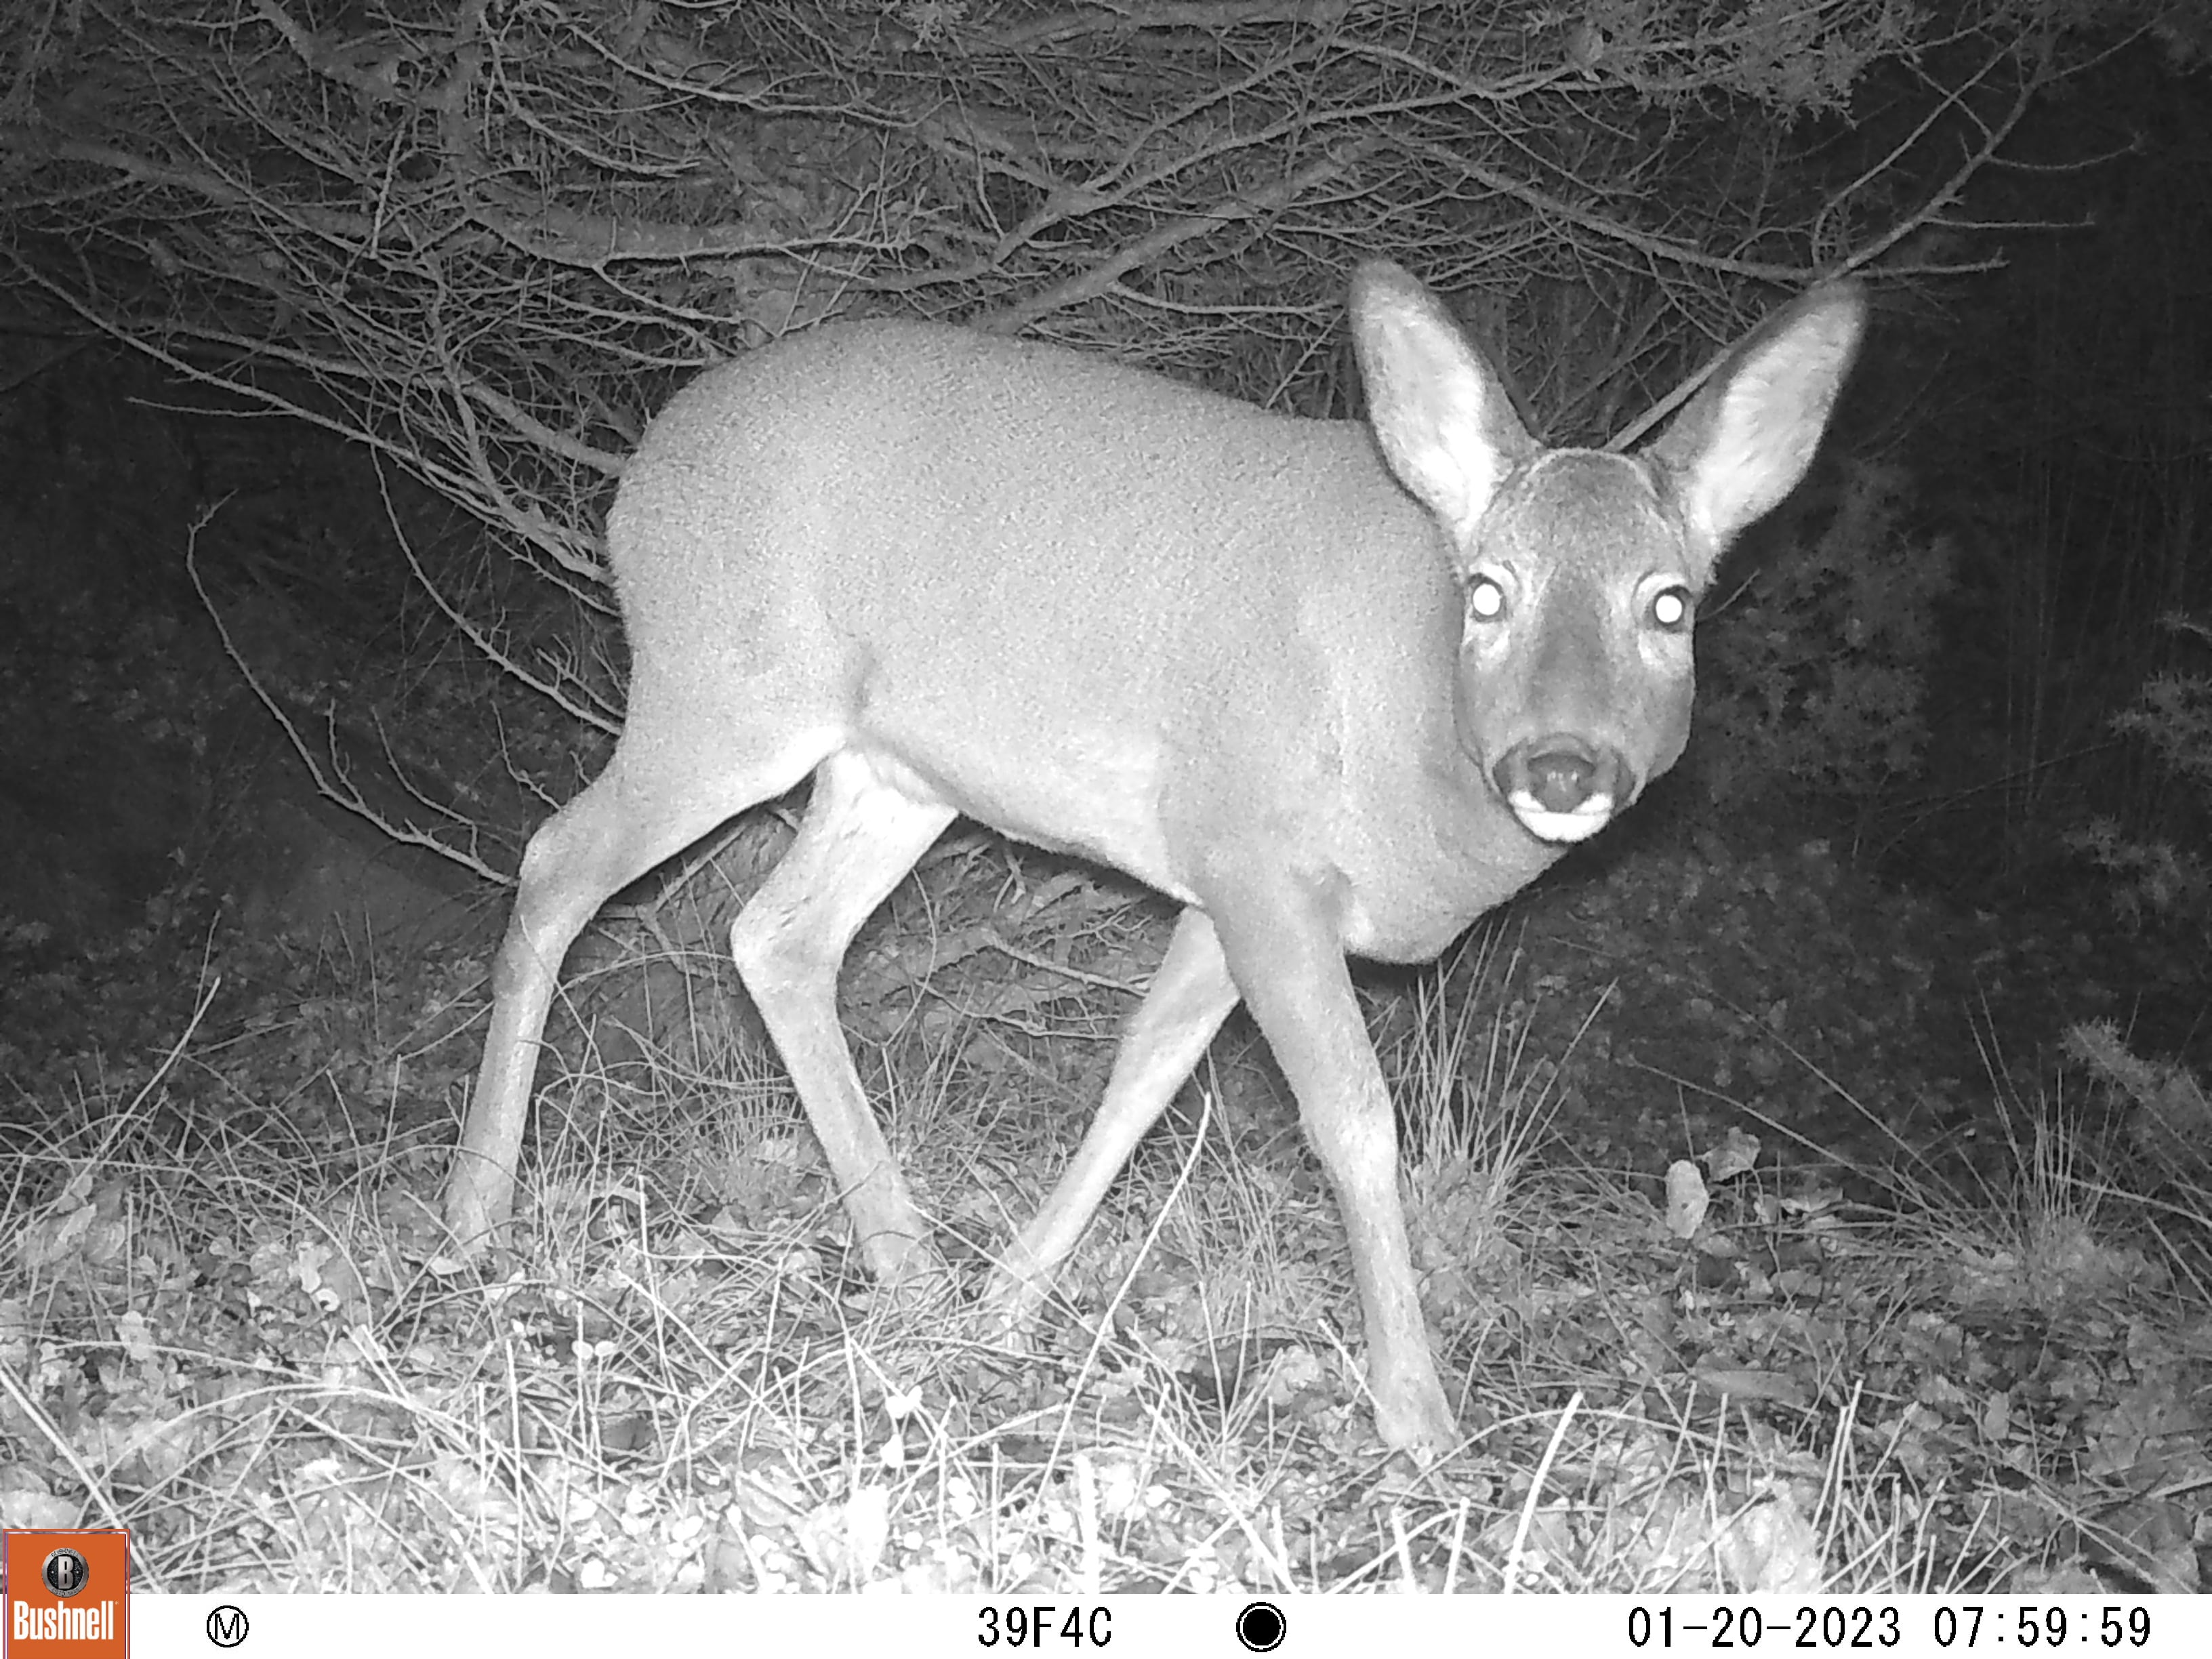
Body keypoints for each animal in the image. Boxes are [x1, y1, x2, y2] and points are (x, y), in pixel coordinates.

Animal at [440, 256, 1858, 1451]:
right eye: (1487, 590)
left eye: (1666, 604)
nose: (1561, 766)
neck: (1406, 719)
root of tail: (640, 472)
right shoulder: (1259, 856)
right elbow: (1349, 1117)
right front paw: (1420, 1421)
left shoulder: (1223, 885)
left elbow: (1142, 1068)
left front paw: (1007, 1300)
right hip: (723, 693)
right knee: (556, 860)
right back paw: (473, 1216)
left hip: (894, 769)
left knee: (777, 933)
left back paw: (907, 1260)